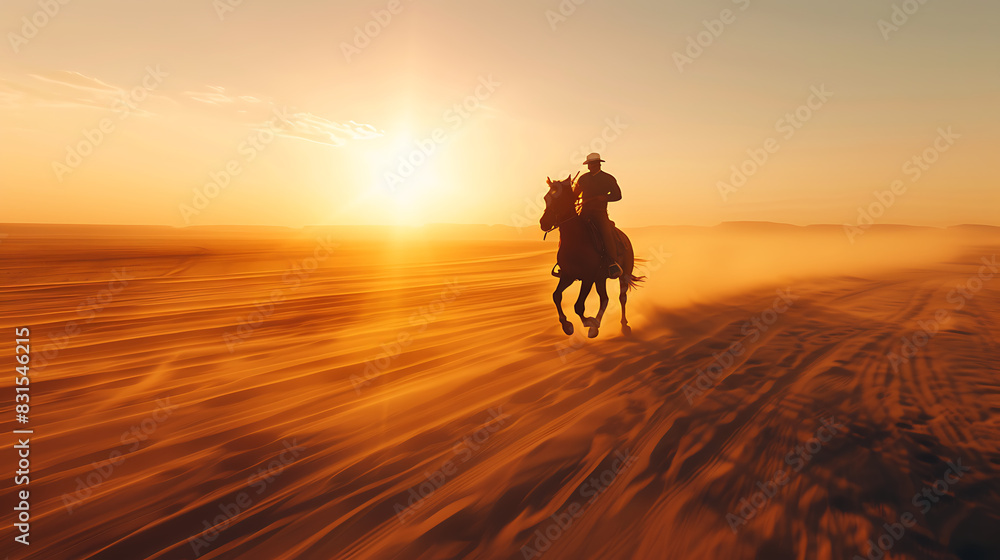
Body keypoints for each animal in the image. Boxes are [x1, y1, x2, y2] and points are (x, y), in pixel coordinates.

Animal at [540, 175, 640, 336]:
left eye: (561, 198)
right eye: (546, 197)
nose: (544, 222)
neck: (576, 241)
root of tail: (625, 238)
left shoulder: (588, 278)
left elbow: (578, 305)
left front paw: (588, 321)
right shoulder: (568, 275)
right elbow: (556, 296)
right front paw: (567, 325)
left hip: (623, 275)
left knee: (622, 298)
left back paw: (623, 324)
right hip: (601, 278)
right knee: (604, 299)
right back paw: (596, 326)